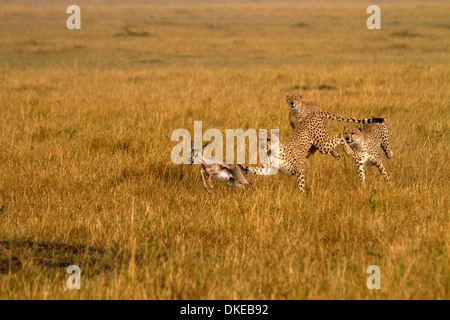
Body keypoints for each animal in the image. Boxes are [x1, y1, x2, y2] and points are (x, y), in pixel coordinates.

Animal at [241, 110, 384, 190]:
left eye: (268, 139)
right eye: (260, 139)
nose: (262, 146)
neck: (274, 152)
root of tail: (311, 114)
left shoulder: (299, 170)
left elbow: (301, 185)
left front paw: (301, 198)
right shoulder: (268, 168)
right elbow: (257, 171)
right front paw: (243, 168)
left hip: (322, 144)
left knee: (339, 136)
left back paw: (344, 149)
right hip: (317, 145)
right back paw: (337, 154)